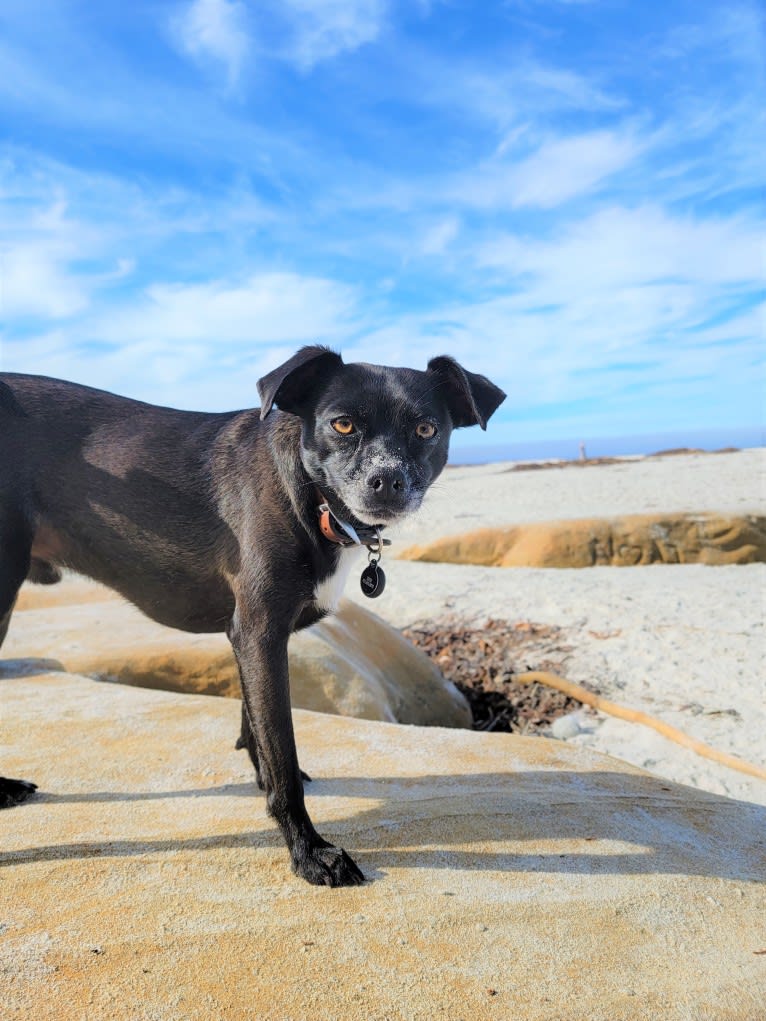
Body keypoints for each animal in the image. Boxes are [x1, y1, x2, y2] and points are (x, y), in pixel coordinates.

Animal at [1, 345, 510, 886]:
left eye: (426, 429)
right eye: (344, 424)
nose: (387, 481)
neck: (309, 495)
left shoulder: (248, 636)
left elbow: (257, 729)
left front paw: (266, 788)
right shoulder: (259, 632)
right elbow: (281, 752)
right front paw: (310, 852)